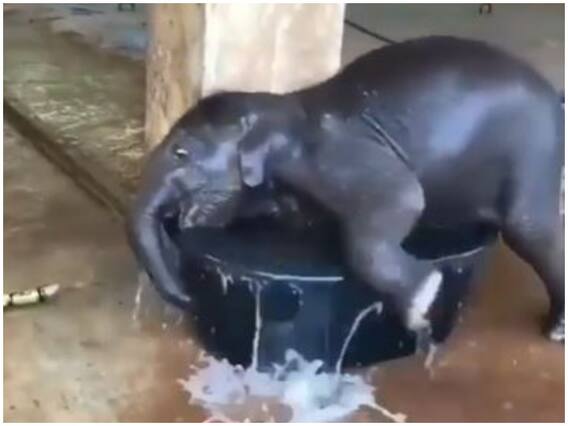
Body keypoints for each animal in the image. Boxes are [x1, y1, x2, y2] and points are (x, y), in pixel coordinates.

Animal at [127, 36, 564, 342]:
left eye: (181, 153)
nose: (190, 300)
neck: (285, 107)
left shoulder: (330, 156)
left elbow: (404, 196)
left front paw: (423, 300)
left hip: (534, 152)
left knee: (531, 228)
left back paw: (556, 330)